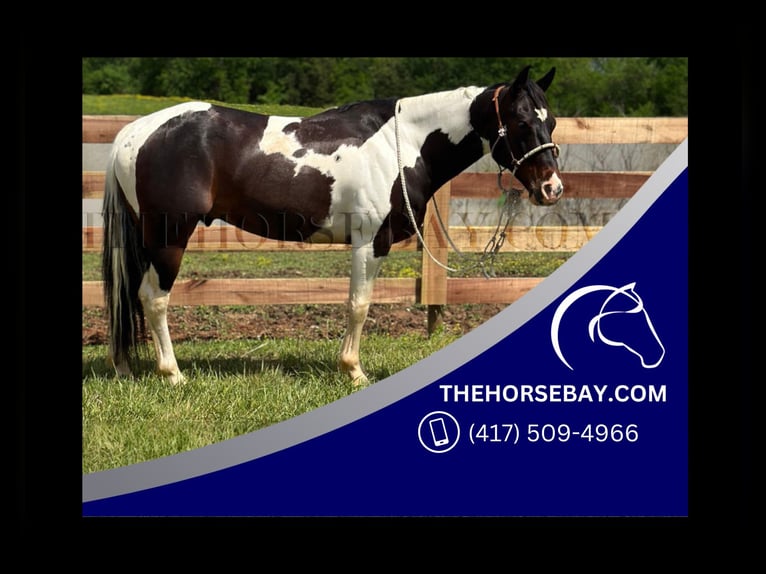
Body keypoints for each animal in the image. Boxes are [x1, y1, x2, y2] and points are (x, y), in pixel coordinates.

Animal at [102, 65, 563, 386]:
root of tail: (134, 132)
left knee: (131, 296)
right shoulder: (368, 242)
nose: (552, 188)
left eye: (552, 121)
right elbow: (358, 305)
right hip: (169, 237)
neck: (404, 144)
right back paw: (172, 374)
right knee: (153, 298)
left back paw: (125, 368)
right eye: (522, 121)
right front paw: (353, 371)